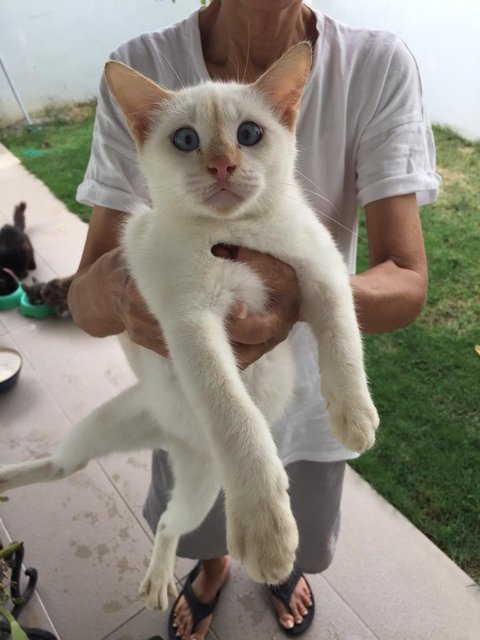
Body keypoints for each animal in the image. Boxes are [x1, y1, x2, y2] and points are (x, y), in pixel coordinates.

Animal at [0, 43, 378, 608]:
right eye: (185, 139)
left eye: (250, 133)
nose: (222, 164)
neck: (234, 231)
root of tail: (171, 433)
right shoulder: (187, 321)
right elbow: (234, 411)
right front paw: (267, 527)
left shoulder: (320, 269)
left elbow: (342, 332)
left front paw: (354, 415)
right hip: (106, 430)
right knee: (67, 468)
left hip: (198, 486)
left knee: (165, 523)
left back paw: (158, 577)